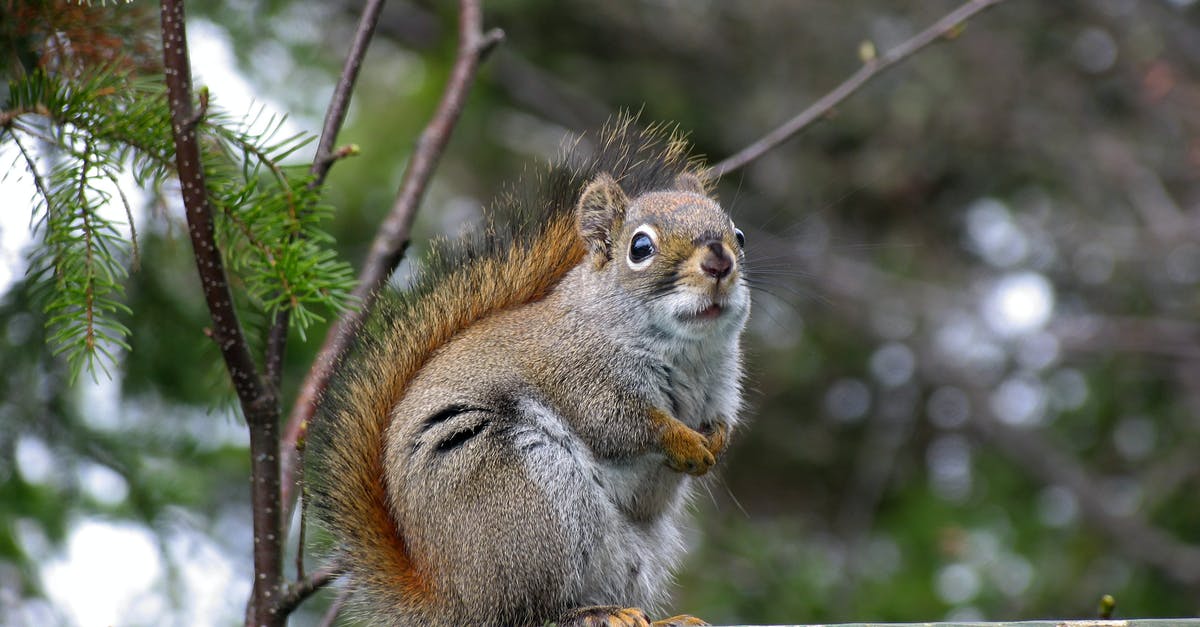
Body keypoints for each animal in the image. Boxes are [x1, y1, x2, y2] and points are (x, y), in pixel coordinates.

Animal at [304, 118, 744, 624]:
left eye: (739, 235)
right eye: (640, 247)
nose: (719, 260)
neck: (691, 352)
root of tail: (452, 598)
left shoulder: (720, 388)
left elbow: (721, 423)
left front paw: (716, 442)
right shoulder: (578, 371)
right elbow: (621, 424)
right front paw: (684, 442)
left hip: (633, 551)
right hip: (529, 497)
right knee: (529, 608)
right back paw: (591, 613)